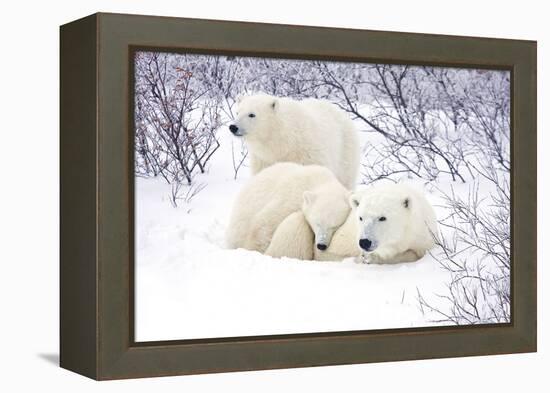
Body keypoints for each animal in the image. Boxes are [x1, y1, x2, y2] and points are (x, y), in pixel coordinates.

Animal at [229, 93, 362, 188]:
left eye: (252, 114)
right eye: (237, 112)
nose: (233, 127)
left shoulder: (308, 155)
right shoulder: (264, 159)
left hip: (345, 150)